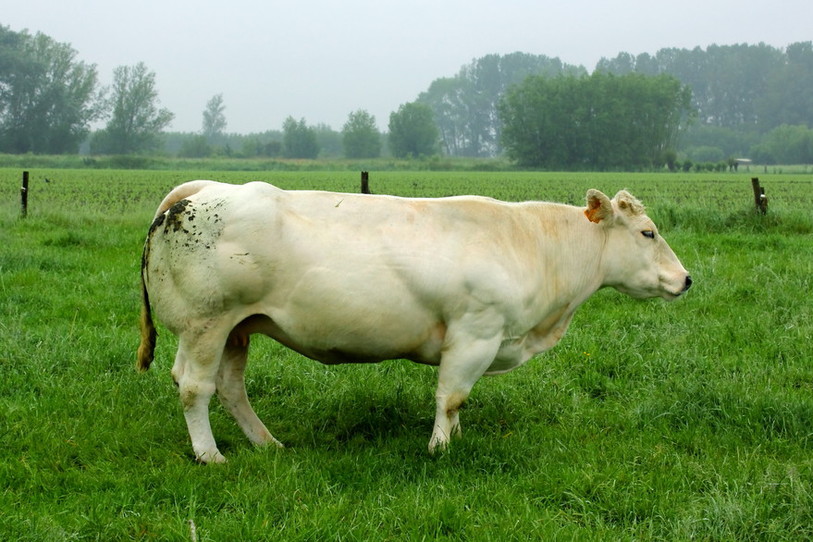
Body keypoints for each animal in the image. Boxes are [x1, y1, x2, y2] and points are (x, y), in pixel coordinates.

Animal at [137, 180, 691, 463]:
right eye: (648, 232)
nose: (686, 279)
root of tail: (200, 191)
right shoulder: (475, 332)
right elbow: (451, 396)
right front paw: (439, 449)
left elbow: (458, 399)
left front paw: (455, 437)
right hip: (208, 321)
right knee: (195, 387)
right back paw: (210, 455)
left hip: (237, 327)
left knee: (229, 388)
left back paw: (267, 443)